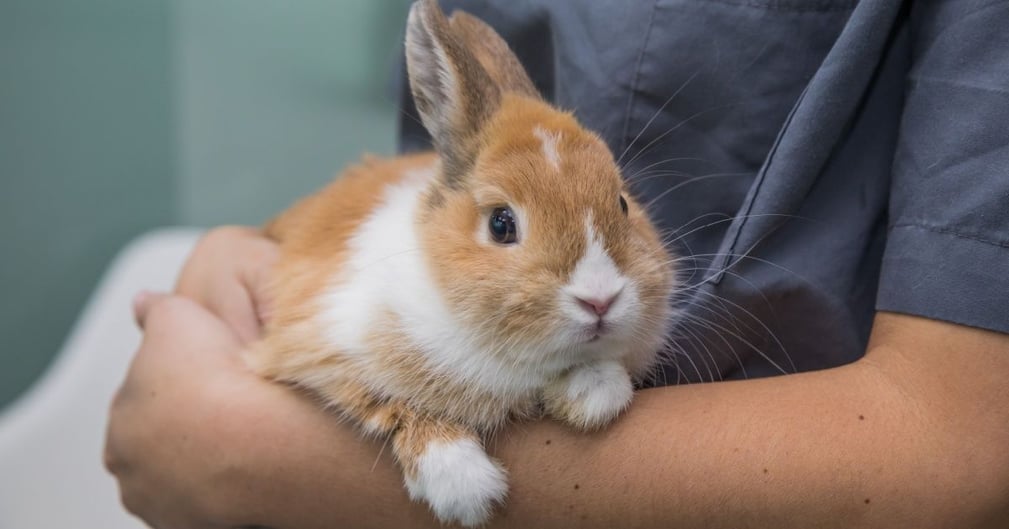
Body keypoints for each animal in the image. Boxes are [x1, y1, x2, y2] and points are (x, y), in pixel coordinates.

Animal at [242, 1, 678, 524]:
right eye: (501, 224)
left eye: (622, 203)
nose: (599, 300)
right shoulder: (323, 344)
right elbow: (394, 403)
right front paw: (464, 485)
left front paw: (594, 396)